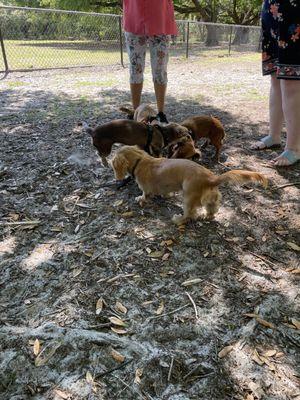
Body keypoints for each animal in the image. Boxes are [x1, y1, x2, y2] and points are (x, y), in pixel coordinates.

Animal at [112, 146, 268, 223]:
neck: (140, 160)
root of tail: (211, 179)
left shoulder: (146, 188)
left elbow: (144, 195)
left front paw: (140, 199)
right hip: (211, 199)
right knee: (212, 210)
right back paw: (207, 216)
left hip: (187, 197)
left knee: (189, 215)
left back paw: (178, 219)